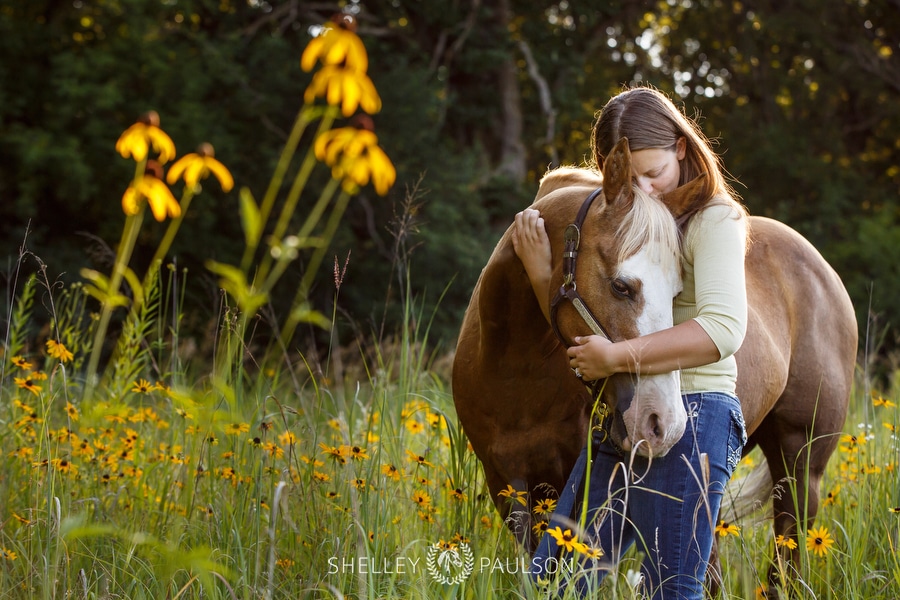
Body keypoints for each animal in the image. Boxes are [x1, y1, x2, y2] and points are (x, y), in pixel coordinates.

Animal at [450, 137, 856, 592]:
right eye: (621, 286)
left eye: (679, 293)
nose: (664, 423)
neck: (518, 373)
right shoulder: (509, 487)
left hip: (801, 463)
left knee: (786, 558)